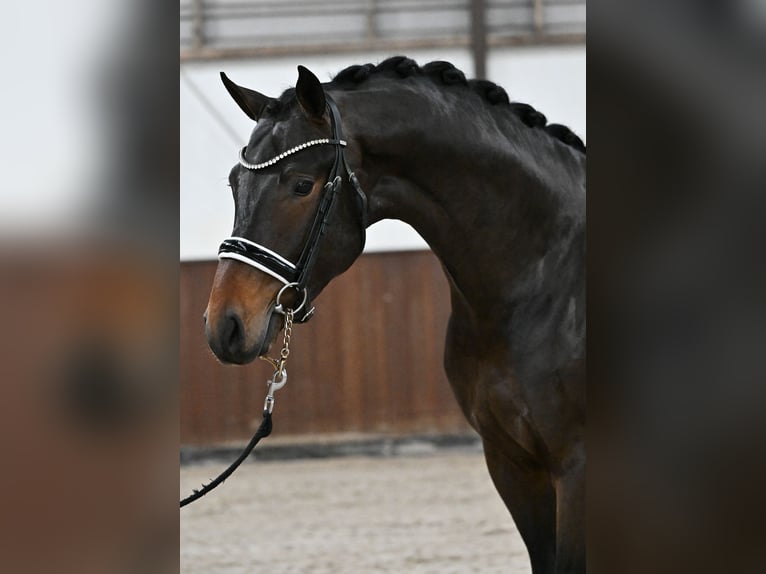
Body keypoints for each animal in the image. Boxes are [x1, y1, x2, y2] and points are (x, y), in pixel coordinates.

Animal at [203, 56, 585, 574]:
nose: (224, 325)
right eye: (233, 183)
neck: (546, 280)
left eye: (302, 185)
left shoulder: (576, 471)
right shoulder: (513, 465)